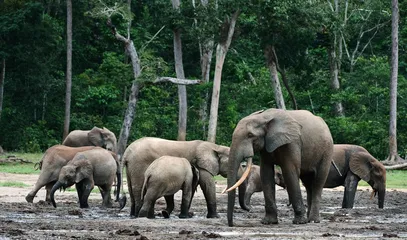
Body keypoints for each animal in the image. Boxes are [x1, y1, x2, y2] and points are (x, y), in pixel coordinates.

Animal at [244, 143, 388, 209]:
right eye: (379, 176)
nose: (380, 209)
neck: (370, 158)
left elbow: (348, 186)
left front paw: (343, 208)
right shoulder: (352, 168)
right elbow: (350, 185)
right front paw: (348, 209)